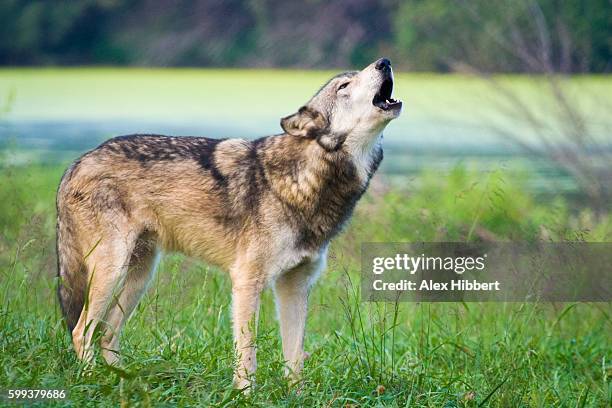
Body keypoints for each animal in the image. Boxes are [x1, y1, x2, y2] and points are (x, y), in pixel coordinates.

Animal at [56, 57, 402, 388]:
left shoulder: (295, 285)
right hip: (112, 271)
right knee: (81, 331)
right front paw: (245, 395)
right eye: (344, 85)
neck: (303, 179)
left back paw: (122, 381)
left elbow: (294, 359)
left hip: (140, 276)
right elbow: (248, 355)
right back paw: (92, 381)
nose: (384, 61)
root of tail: (77, 162)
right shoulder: (248, 282)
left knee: (107, 335)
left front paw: (296, 396)